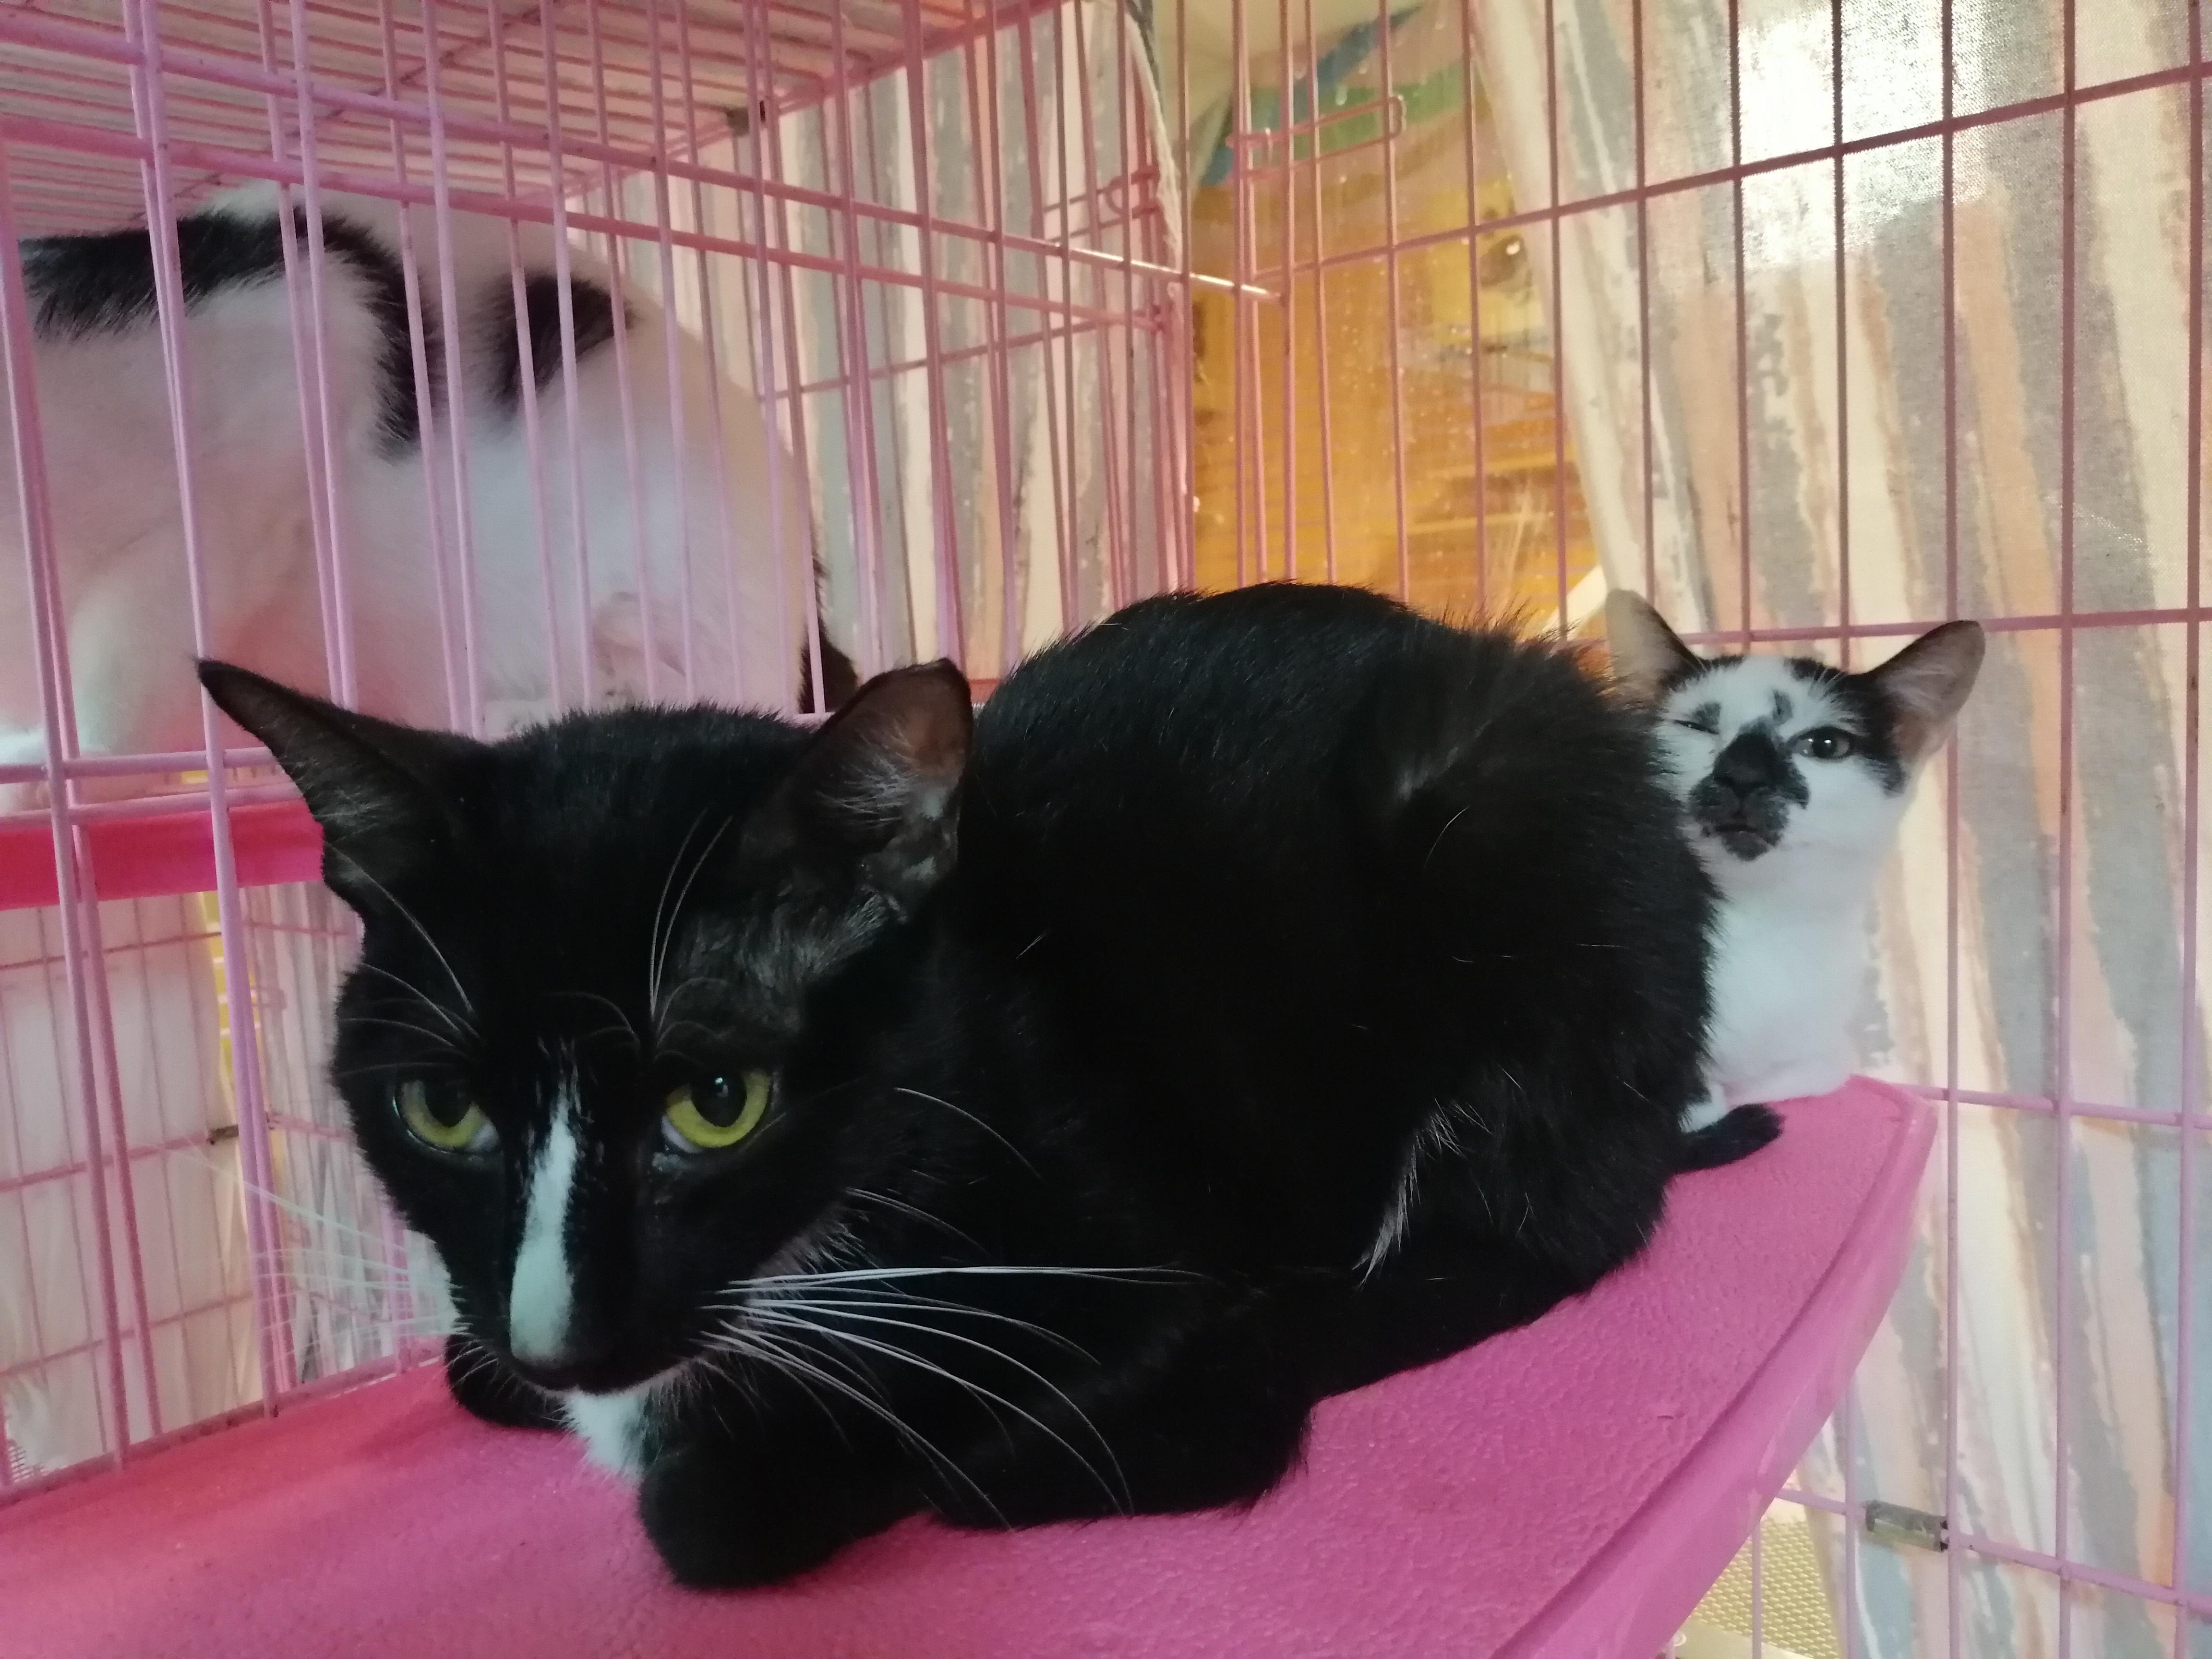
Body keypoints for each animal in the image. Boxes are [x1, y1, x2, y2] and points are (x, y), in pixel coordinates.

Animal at [199, 582, 1778, 1588]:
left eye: (718, 1102)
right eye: (442, 1110)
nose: (555, 1337)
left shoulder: (1122, 1212)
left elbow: (734, 1506)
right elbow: (480, 1374)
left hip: (1501, 846)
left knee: (1553, 1233)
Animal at [1604, 592, 1985, 1125]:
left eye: (1826, 745)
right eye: (1696, 726)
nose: (1743, 774)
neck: (1758, 920)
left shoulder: (1822, 1043)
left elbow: (1818, 1070)